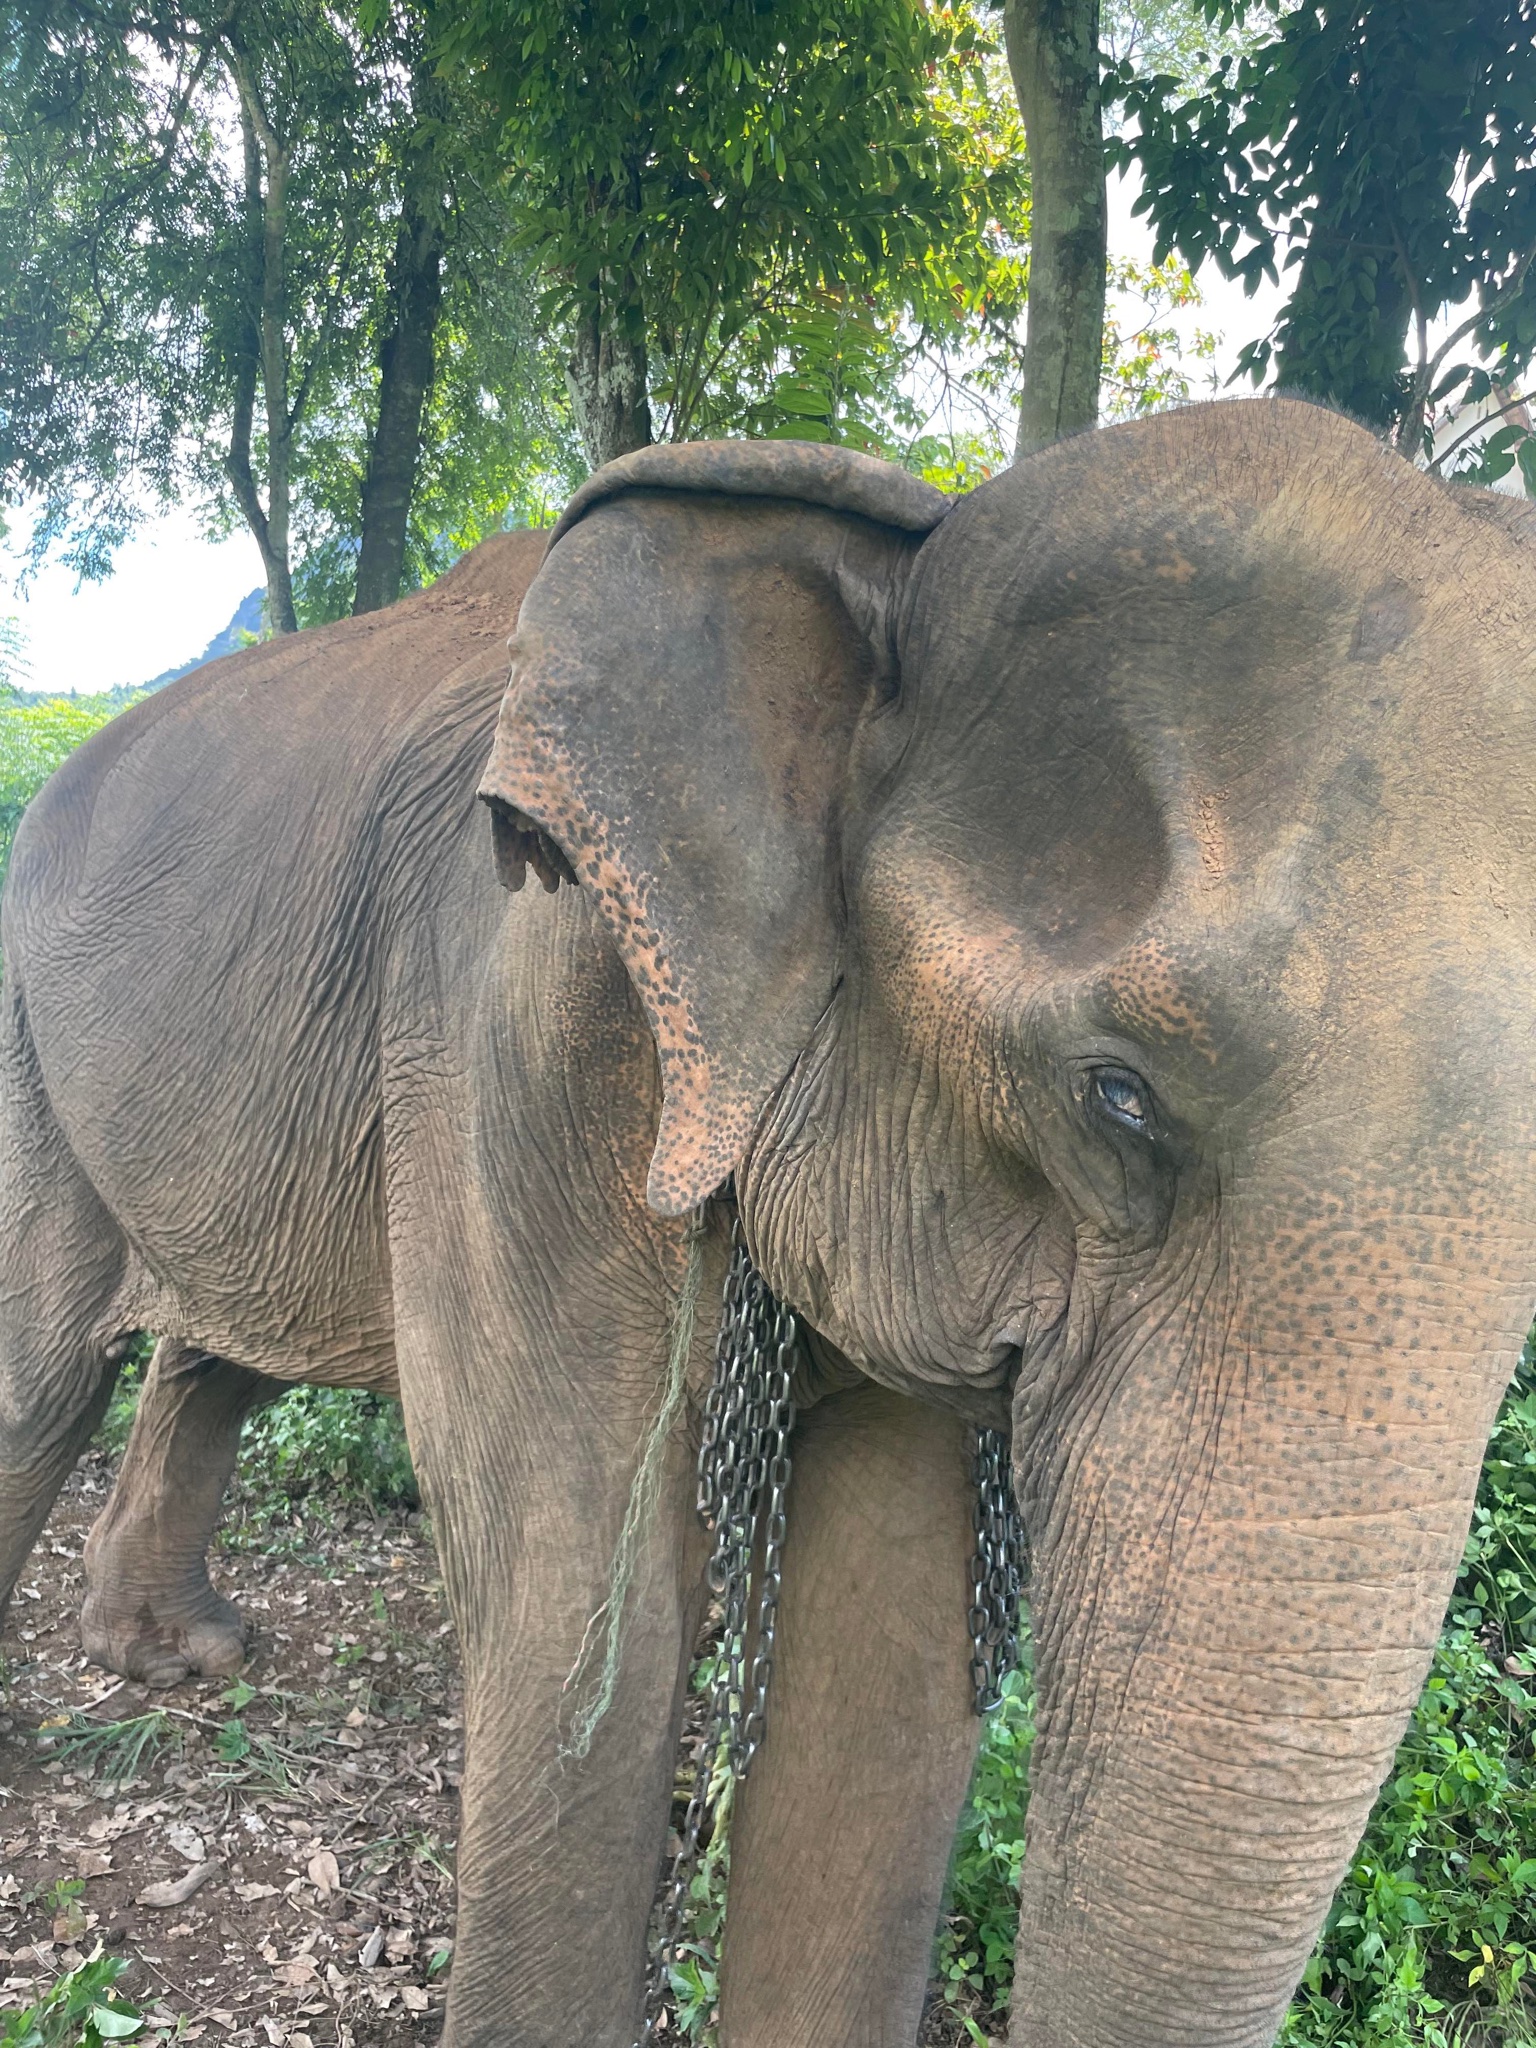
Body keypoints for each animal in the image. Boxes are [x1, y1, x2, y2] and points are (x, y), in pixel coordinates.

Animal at [4, 395, 1536, 2048]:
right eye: (1117, 1095)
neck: (910, 540)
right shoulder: (519, 1030)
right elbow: (580, 1613)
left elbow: (889, 1649)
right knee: (40, 1373)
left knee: (207, 1348)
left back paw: (176, 1658)